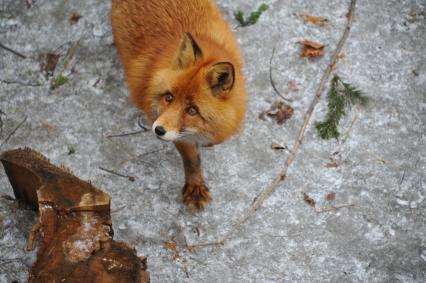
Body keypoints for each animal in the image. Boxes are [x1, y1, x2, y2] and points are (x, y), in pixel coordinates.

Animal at [111, 0, 248, 210]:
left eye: (192, 110)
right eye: (169, 97)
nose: (158, 130)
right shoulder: (177, 134)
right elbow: (191, 160)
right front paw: (195, 186)